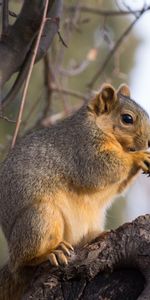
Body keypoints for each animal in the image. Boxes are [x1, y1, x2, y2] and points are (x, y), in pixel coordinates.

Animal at [0, 82, 149, 300]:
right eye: (127, 118)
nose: (147, 142)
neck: (97, 125)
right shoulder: (82, 148)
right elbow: (99, 169)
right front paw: (138, 157)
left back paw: (98, 236)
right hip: (40, 218)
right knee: (25, 261)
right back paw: (49, 253)